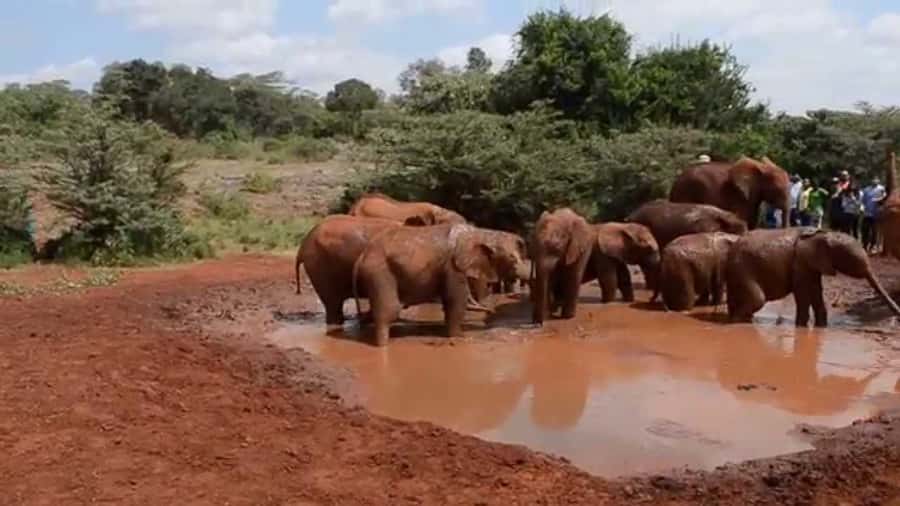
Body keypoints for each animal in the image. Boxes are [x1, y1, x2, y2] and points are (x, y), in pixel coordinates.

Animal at [352, 223, 529, 346]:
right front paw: (459, 337)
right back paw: (383, 345)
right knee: (390, 310)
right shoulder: (453, 267)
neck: (483, 233)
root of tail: (362, 256)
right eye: (512, 259)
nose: (492, 311)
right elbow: (456, 301)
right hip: (379, 272)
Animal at [725, 228, 900, 327]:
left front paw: (821, 327)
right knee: (758, 299)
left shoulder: (812, 265)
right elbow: (802, 293)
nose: (897, 315)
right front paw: (801, 328)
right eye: (852, 260)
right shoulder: (800, 262)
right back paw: (737, 322)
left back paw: (742, 320)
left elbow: (816, 291)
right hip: (742, 268)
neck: (825, 234)